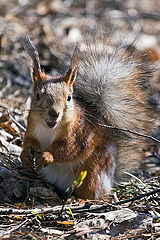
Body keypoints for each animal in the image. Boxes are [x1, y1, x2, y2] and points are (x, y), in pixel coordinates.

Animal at [18, 33, 154, 199]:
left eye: (69, 97)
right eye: (37, 96)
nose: (54, 113)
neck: (49, 128)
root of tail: (111, 180)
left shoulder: (80, 133)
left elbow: (69, 149)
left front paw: (47, 155)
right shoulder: (32, 127)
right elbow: (28, 142)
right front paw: (24, 155)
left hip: (94, 170)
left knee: (91, 192)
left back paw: (79, 199)